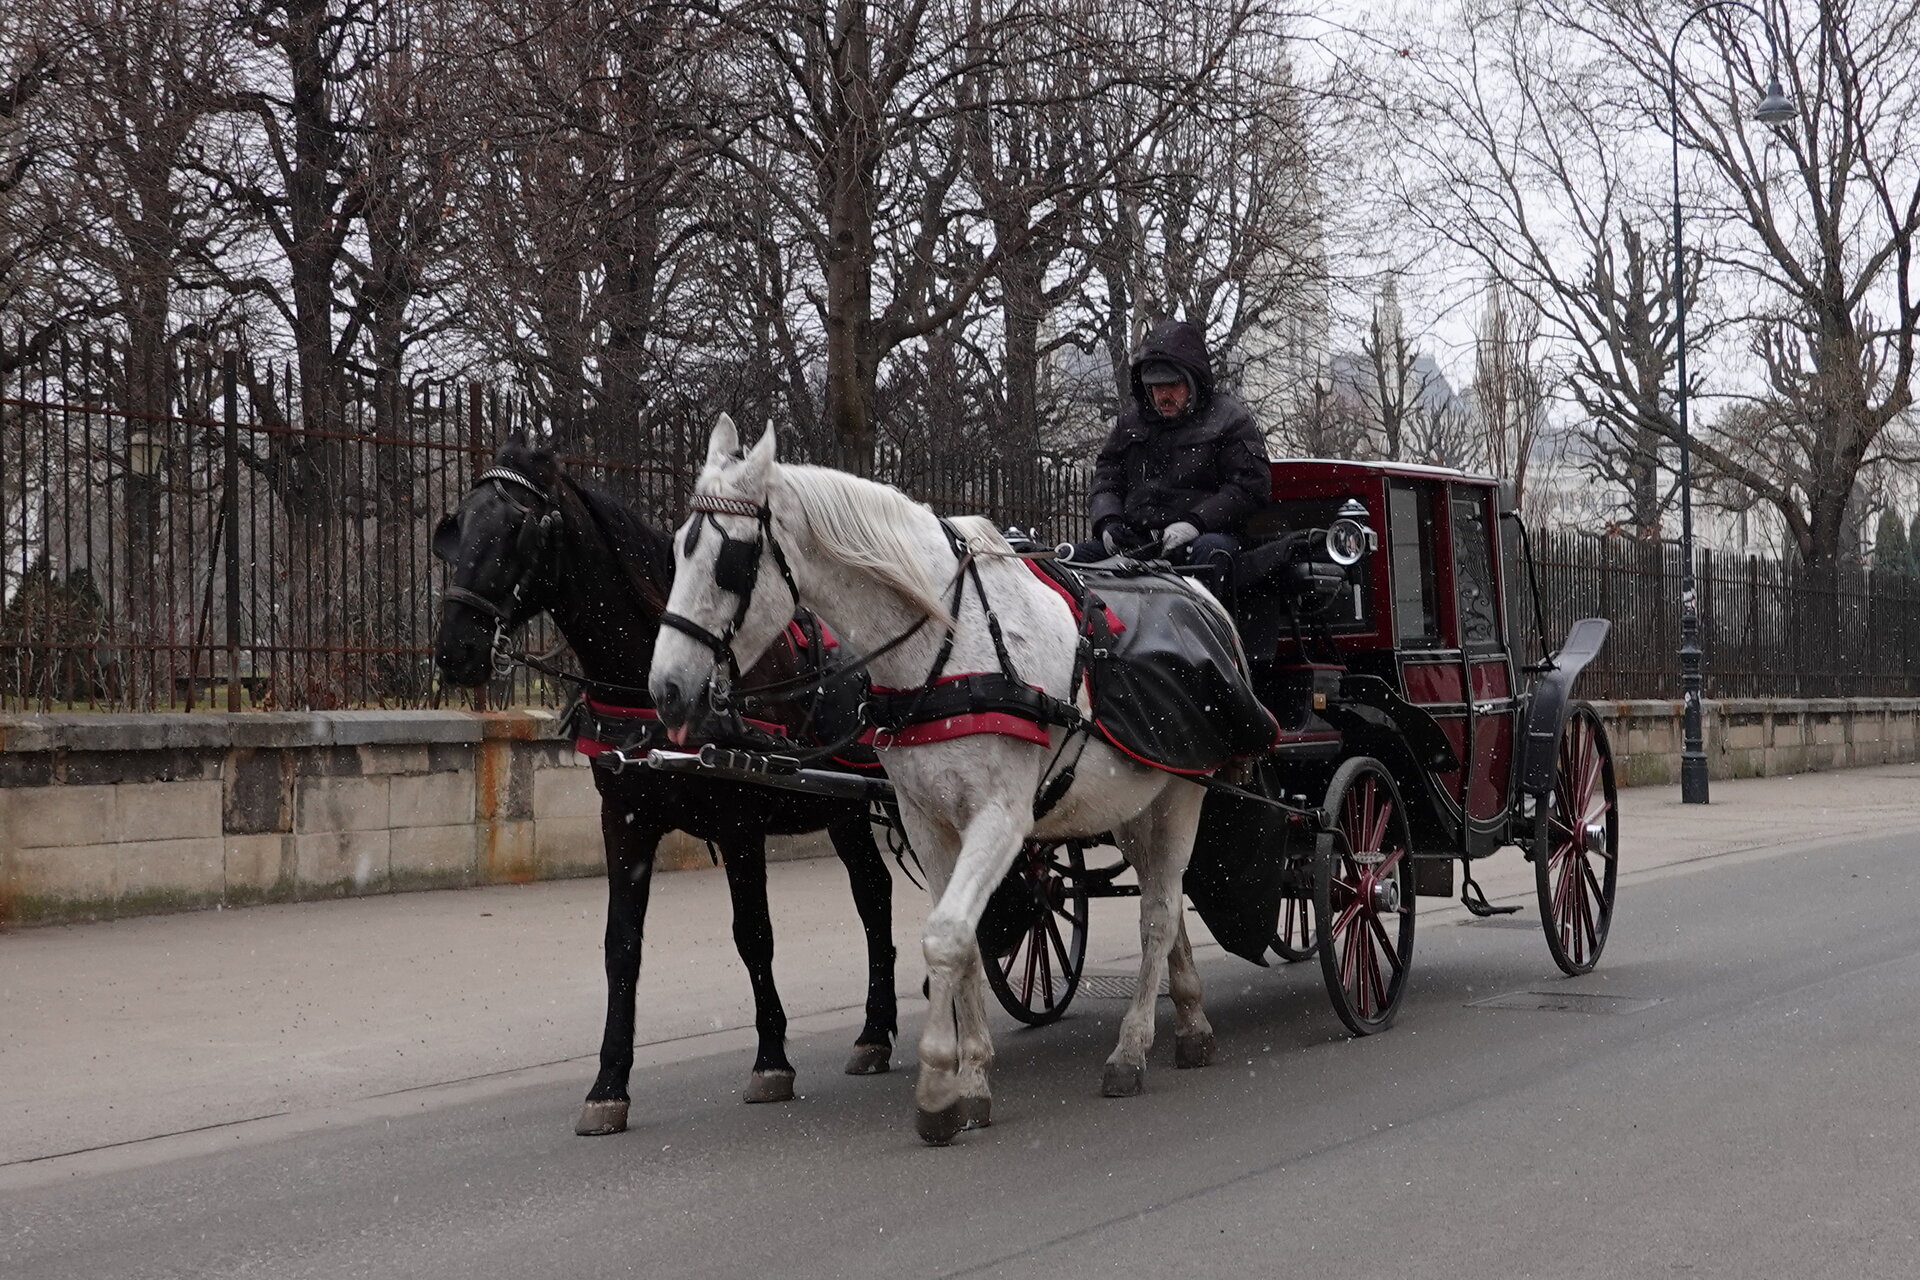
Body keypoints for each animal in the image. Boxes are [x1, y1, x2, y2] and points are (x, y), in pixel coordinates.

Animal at [432, 437, 894, 1128]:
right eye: (456, 526)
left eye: (518, 527)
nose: (454, 649)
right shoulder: (624, 821)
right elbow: (621, 946)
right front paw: (608, 1085)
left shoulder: (739, 825)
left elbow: (754, 935)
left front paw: (771, 1060)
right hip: (846, 811)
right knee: (875, 893)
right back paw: (875, 1031)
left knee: (879, 895)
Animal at [645, 418, 1213, 1143]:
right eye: (675, 553)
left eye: (730, 562)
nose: (666, 690)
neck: (952, 642)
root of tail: (1192, 586)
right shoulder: (927, 820)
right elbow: (963, 939)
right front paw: (969, 1077)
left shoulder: (1000, 818)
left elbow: (945, 935)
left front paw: (938, 1083)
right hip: (1132, 804)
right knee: (1163, 901)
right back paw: (1188, 1015)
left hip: (1184, 791)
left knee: (1158, 913)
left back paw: (1133, 1047)